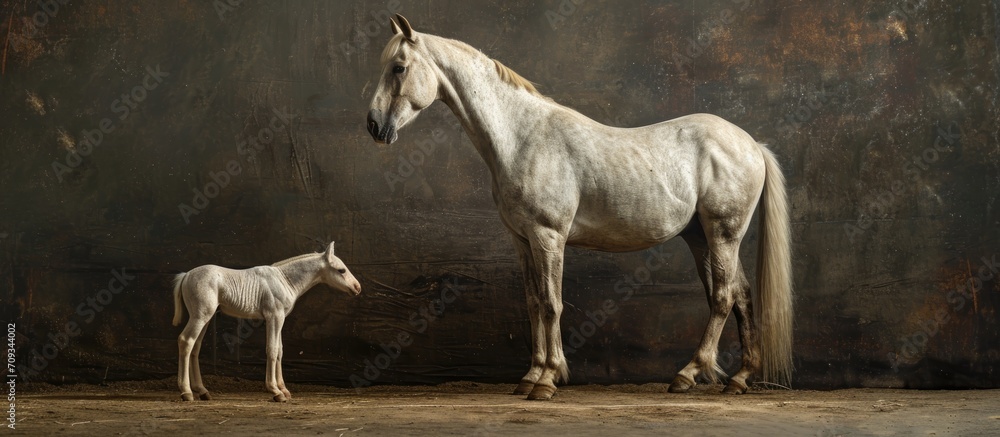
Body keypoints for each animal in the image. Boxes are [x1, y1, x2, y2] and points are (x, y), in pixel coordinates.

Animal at [172, 242, 362, 402]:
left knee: (195, 346)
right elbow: (272, 350)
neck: (285, 279)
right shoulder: (274, 316)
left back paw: (202, 391)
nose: (357, 287)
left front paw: (284, 389)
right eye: (341, 270)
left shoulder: (280, 318)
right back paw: (186, 392)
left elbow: (280, 351)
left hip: (205, 317)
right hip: (200, 316)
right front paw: (275, 391)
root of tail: (186, 275)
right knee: (186, 341)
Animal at [366, 15, 793, 400]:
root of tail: (752, 144)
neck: (523, 138)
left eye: (399, 67)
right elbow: (533, 303)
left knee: (723, 297)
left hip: (723, 233)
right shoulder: (522, 241)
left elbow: (552, 304)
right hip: (702, 237)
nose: (373, 125)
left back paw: (689, 373)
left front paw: (548, 379)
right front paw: (530, 376)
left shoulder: (548, 237)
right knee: (740, 294)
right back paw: (739, 378)